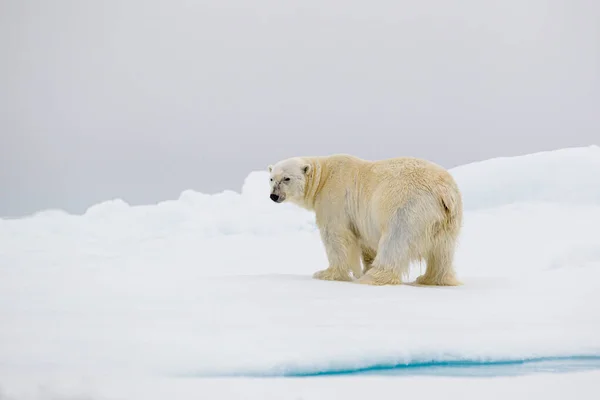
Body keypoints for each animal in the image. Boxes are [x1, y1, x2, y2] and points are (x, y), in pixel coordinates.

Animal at [268, 152, 464, 286]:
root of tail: (443, 190)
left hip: (408, 208)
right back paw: (430, 278)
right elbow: (365, 245)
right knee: (442, 251)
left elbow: (336, 236)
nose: (273, 196)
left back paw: (373, 277)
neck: (323, 177)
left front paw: (326, 273)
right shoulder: (361, 219)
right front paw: (363, 268)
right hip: (447, 219)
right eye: (271, 179)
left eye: (286, 178)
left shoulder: (335, 199)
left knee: (394, 242)